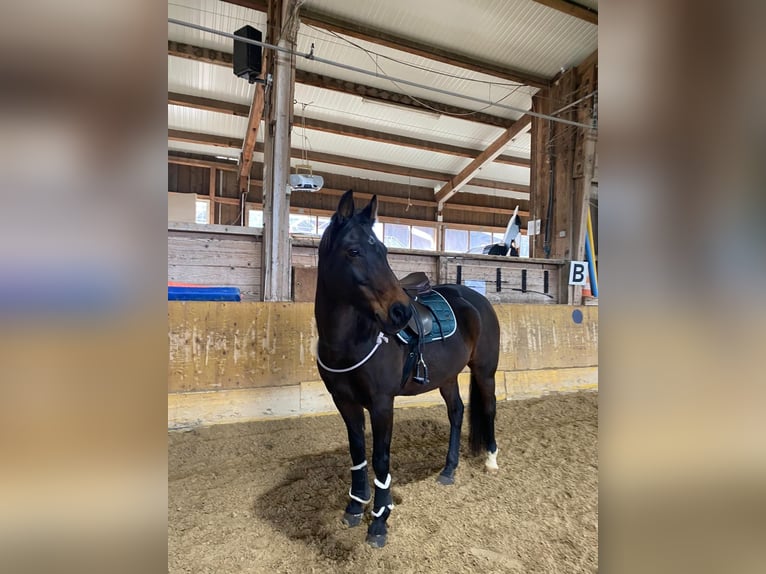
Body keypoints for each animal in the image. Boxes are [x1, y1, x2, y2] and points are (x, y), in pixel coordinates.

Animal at [316, 190, 500, 548]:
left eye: (383, 250)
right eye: (354, 251)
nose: (400, 312)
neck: (352, 340)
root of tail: (477, 300)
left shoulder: (382, 404)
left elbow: (381, 459)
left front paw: (379, 521)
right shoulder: (344, 402)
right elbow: (358, 452)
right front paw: (355, 507)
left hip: (485, 373)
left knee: (488, 408)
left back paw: (491, 459)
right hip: (447, 377)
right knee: (457, 412)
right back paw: (448, 470)